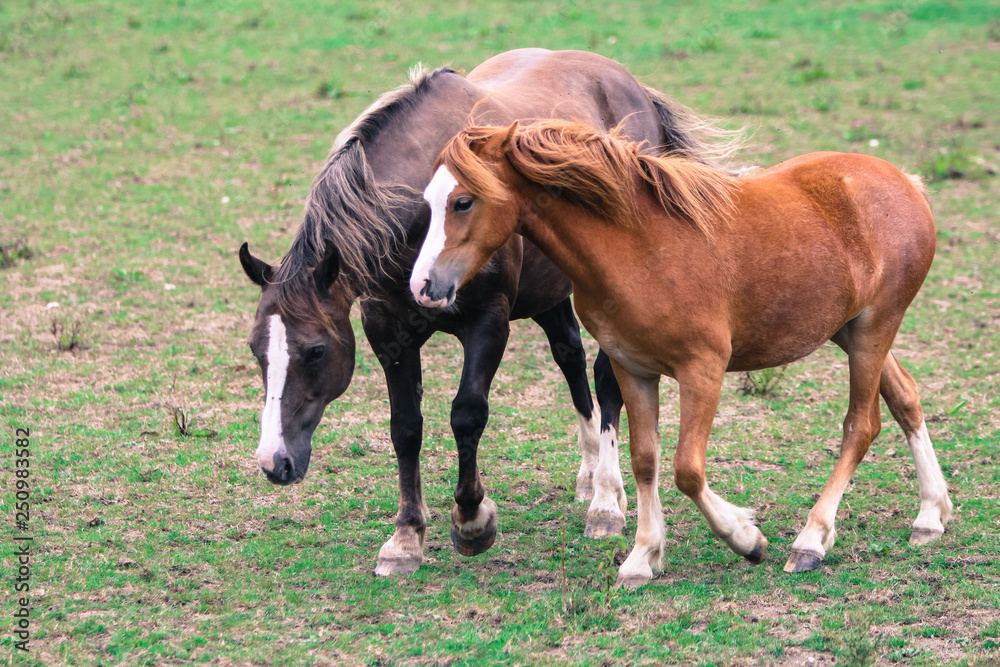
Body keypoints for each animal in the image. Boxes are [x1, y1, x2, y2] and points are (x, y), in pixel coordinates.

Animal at [236, 49, 736, 576]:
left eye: (314, 351)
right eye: (255, 350)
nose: (273, 463)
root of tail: (631, 85)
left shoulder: (489, 322)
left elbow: (467, 414)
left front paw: (472, 521)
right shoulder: (387, 331)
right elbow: (405, 428)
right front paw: (406, 538)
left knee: (605, 379)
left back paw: (605, 500)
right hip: (550, 292)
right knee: (570, 358)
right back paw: (588, 476)